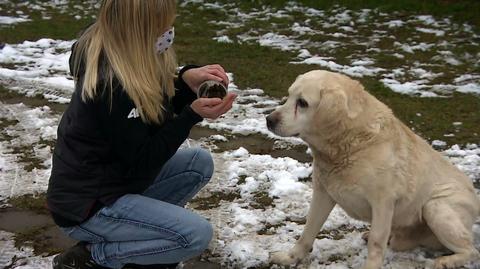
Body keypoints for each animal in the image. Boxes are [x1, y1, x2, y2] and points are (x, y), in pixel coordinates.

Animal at [266, 70, 480, 268]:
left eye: (302, 103)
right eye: (289, 96)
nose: (269, 120)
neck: (348, 145)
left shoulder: (383, 202)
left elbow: (377, 242)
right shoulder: (322, 193)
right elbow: (308, 231)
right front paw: (290, 258)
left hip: (436, 207)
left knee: (472, 251)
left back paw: (446, 261)